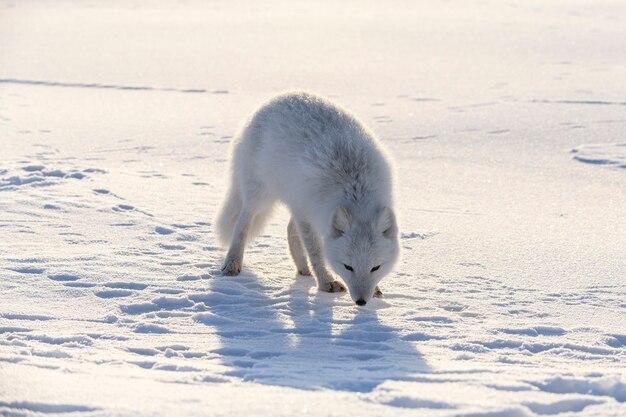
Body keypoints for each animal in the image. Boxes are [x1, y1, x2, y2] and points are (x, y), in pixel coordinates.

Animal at [217, 92, 398, 306]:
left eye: (375, 267)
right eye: (348, 266)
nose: (361, 302)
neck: (355, 187)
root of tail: (276, 98)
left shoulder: (304, 209)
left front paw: (375, 289)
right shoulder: (306, 212)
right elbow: (316, 252)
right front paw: (326, 283)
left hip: (291, 199)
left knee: (289, 229)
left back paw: (303, 269)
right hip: (260, 195)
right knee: (242, 223)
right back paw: (232, 264)